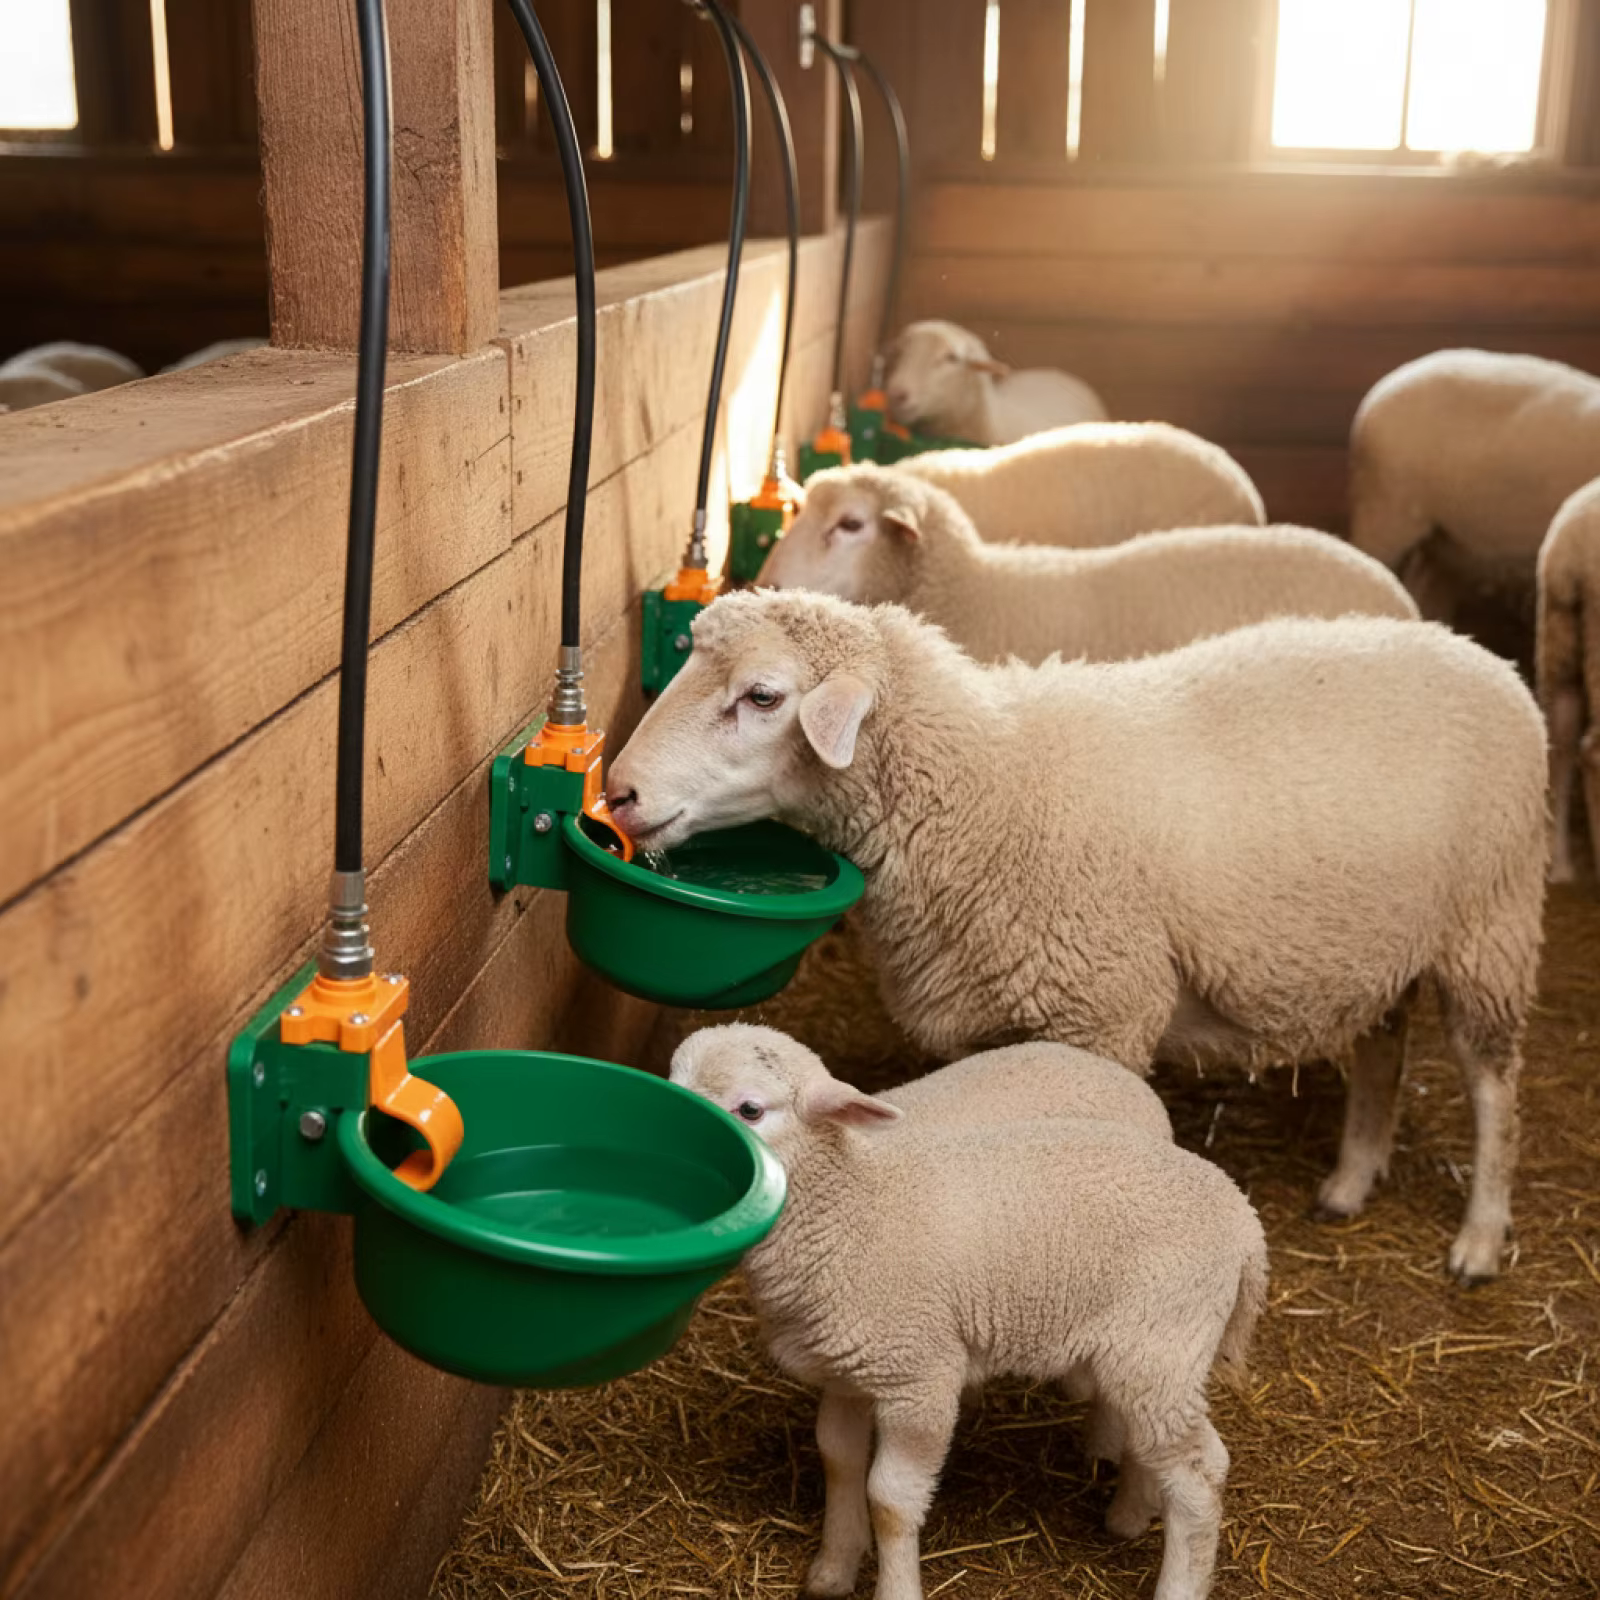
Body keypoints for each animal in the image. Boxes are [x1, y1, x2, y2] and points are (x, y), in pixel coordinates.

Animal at [606, 592, 1547, 1285]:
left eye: (763, 696)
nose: (617, 791)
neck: (990, 786)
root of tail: (1485, 657)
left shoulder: (1103, 1011)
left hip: (1490, 925)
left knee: (1495, 1090)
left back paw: (1480, 1239)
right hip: (1383, 942)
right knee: (1385, 1048)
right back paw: (1351, 1182)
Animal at [671, 1024, 1266, 1600]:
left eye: (750, 1109)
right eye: (673, 1080)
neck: (854, 1205)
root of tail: (1244, 1220)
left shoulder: (919, 1378)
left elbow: (890, 1500)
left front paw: (894, 1588)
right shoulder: (847, 1372)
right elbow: (839, 1462)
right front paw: (833, 1568)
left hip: (1162, 1343)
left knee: (1199, 1474)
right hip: (1146, 1354)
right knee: (1150, 1437)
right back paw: (1127, 1512)